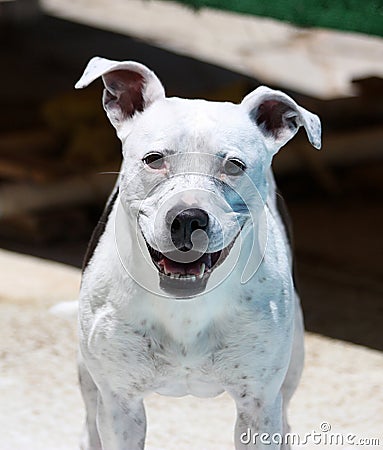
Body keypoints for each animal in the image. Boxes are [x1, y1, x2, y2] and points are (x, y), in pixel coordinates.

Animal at [75, 57, 320, 450]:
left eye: (234, 165)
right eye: (154, 159)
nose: (188, 218)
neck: (185, 308)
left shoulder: (259, 407)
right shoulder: (119, 405)